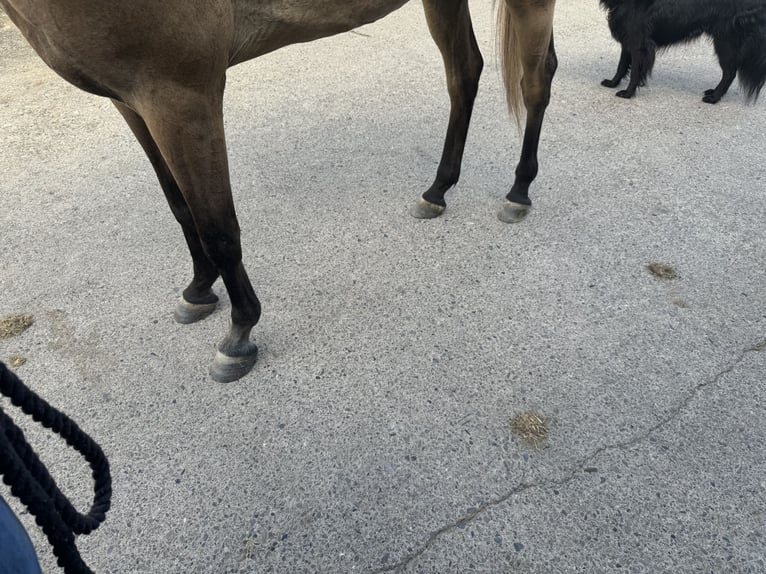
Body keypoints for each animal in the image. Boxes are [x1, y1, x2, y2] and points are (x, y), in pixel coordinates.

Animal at [1, 3, 560, 388]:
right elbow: (181, 207)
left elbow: (219, 227)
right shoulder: (131, 100)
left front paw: (239, 334)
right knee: (464, 72)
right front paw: (199, 288)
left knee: (536, 79)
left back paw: (519, 190)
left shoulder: (182, 94)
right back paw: (438, 189)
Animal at [600, 0, 766, 102]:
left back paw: (714, 98)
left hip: (724, 42)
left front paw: (628, 93)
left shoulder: (638, 44)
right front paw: (613, 83)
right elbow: (621, 66)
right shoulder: (627, 40)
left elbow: (634, 72)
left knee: (729, 73)